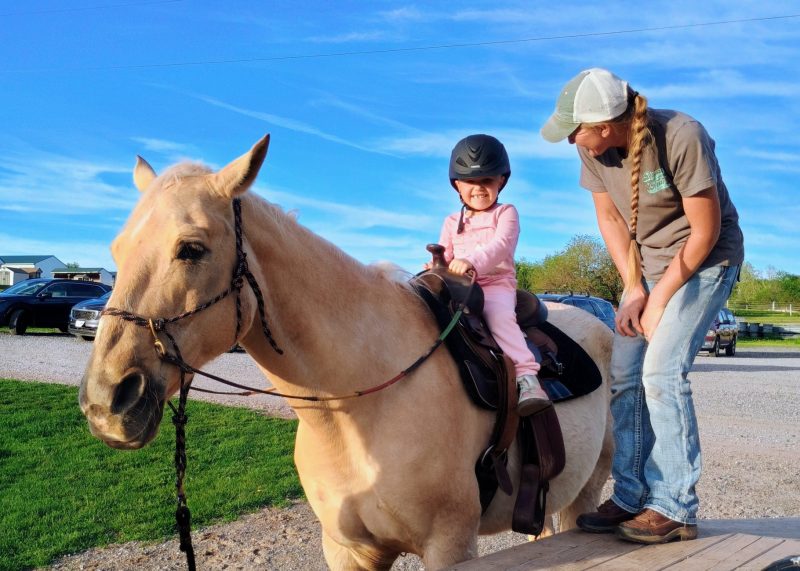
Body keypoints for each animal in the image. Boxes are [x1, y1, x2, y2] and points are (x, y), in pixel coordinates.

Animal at [79, 135, 613, 570]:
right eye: (118, 248)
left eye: (190, 248)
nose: (106, 402)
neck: (361, 405)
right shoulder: (347, 550)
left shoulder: (450, 545)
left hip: (586, 491)